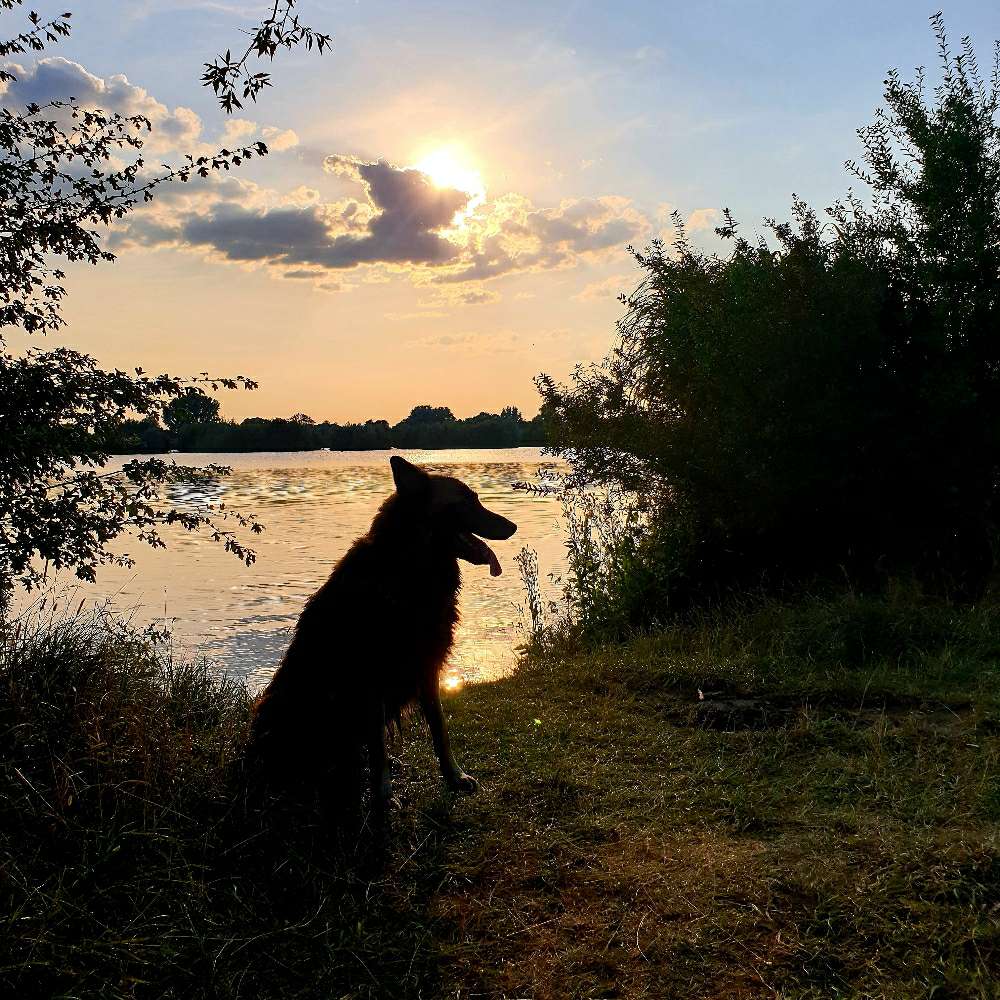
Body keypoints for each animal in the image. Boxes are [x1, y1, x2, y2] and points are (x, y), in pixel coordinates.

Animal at [246, 458, 520, 816]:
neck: (409, 570)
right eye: (466, 502)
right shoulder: (371, 680)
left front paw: (453, 777)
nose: (513, 526)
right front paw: (383, 796)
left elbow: (439, 730)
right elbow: (378, 747)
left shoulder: (427, 667)